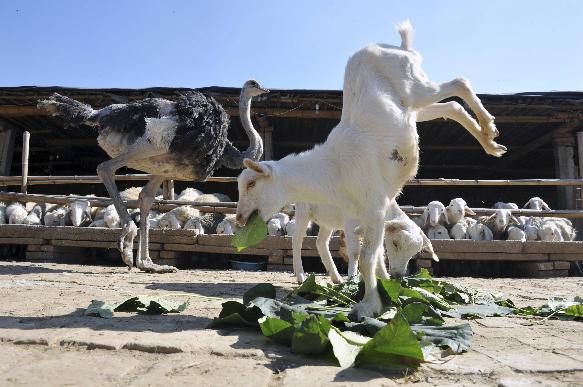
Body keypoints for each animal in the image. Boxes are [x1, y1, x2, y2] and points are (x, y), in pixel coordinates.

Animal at [235, 19, 504, 320]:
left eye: (251, 183)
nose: (240, 218)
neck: (332, 167)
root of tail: (398, 46)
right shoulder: (362, 216)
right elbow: (372, 258)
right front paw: (380, 293)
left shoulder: (374, 210)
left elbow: (366, 259)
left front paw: (368, 305)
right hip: (412, 108)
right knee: (452, 106)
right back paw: (490, 140)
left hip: (413, 85)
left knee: (459, 83)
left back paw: (489, 129)